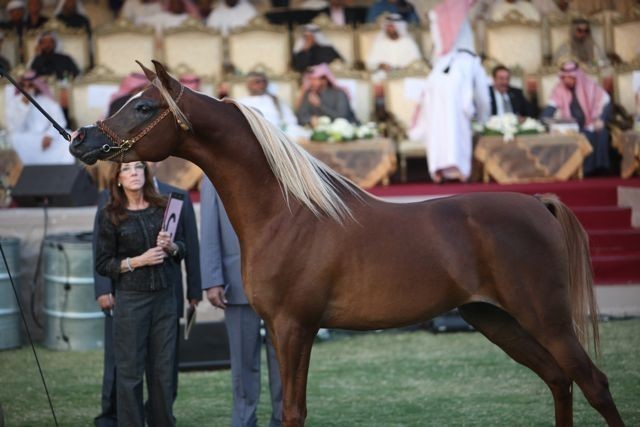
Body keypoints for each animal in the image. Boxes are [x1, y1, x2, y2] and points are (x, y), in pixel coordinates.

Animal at [69, 60, 624, 427]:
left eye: (143, 106)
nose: (80, 139)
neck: (287, 213)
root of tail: (538, 204)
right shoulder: (282, 330)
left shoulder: (295, 327)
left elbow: (293, 411)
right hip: (497, 320)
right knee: (559, 380)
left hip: (546, 319)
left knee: (593, 383)